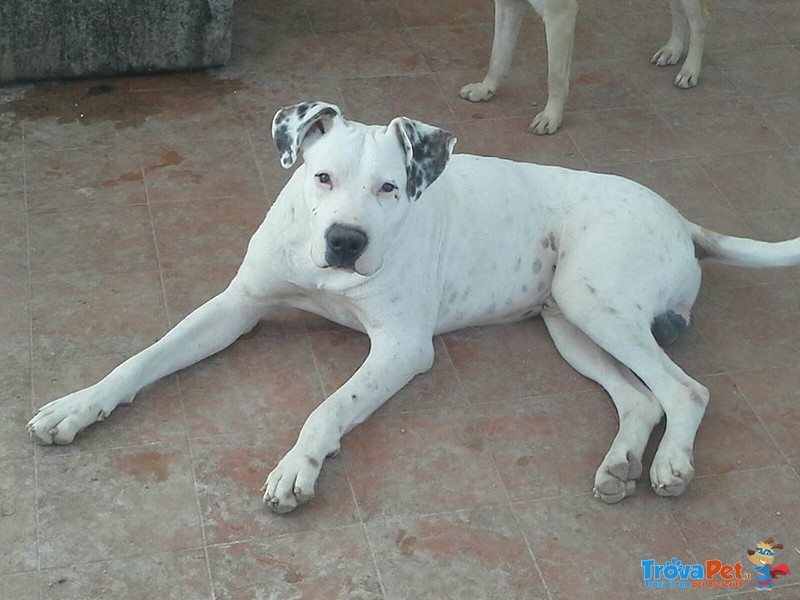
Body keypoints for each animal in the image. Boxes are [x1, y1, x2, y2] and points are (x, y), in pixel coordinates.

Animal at [28, 101, 796, 512]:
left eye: (391, 187)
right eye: (320, 177)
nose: (344, 240)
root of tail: (684, 219)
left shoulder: (400, 347)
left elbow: (328, 407)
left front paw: (298, 467)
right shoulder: (237, 306)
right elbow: (142, 359)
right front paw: (76, 406)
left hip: (594, 301)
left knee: (684, 389)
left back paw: (670, 467)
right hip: (569, 323)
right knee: (639, 397)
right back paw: (619, 467)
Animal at [462, 0, 712, 134]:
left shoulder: (559, 15)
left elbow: (555, 77)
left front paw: (551, 117)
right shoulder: (508, 4)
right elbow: (497, 56)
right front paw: (485, 88)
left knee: (700, 21)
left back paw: (690, 69)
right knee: (679, 13)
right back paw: (673, 49)